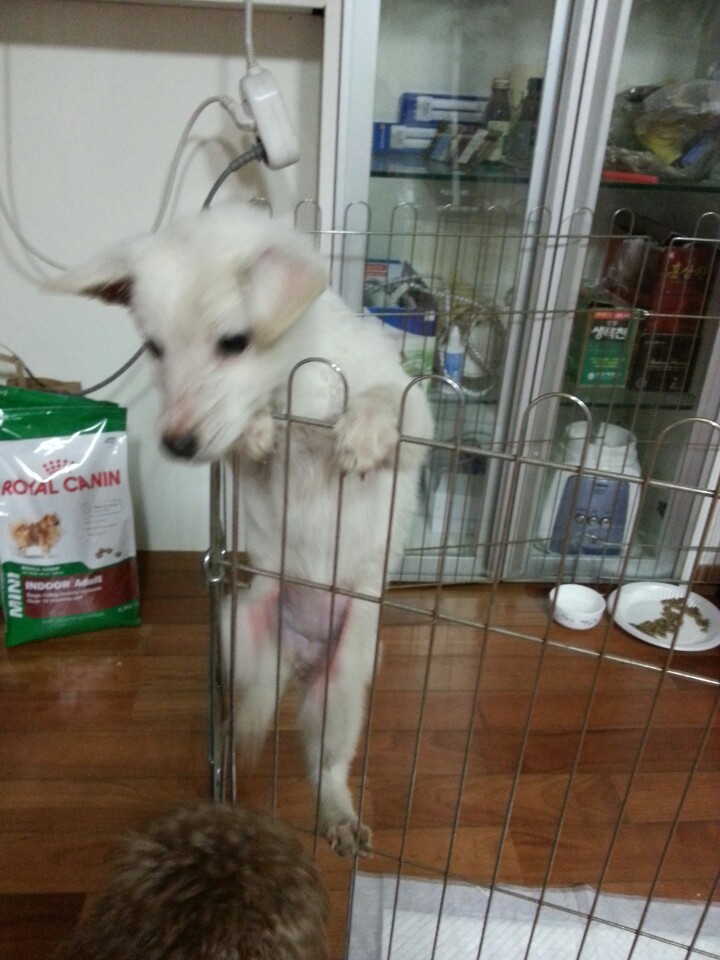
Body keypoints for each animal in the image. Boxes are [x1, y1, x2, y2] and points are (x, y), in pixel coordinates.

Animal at [48, 204, 435, 856]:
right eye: (153, 347)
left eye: (233, 342)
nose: (177, 446)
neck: (299, 386)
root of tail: (299, 659)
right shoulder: (243, 462)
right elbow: (248, 443)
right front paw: (255, 428)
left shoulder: (416, 424)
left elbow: (389, 403)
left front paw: (362, 432)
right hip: (239, 631)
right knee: (249, 709)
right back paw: (235, 749)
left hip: (347, 679)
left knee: (326, 764)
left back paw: (336, 813)